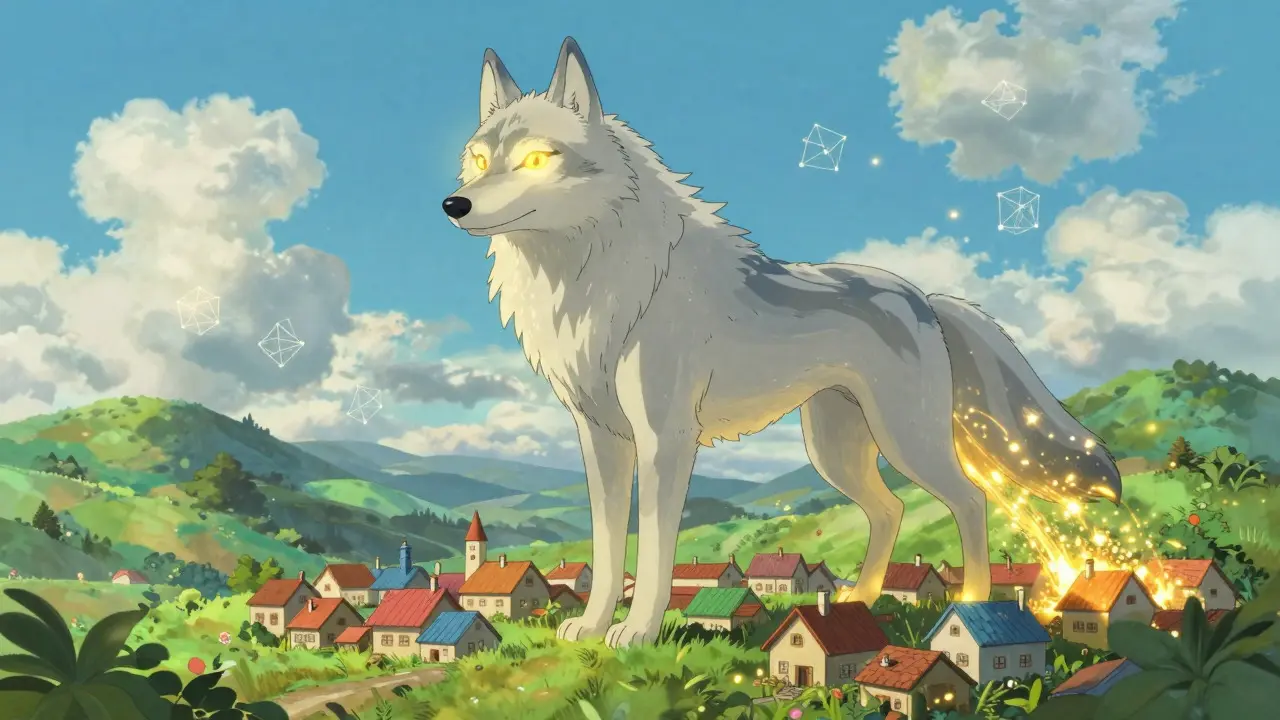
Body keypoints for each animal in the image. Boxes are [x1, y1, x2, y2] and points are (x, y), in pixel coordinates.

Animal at [440, 37, 1122, 647]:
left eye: (535, 160)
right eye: (480, 161)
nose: (454, 204)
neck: (603, 279)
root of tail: (925, 298)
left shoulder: (666, 440)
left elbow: (656, 550)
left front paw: (636, 634)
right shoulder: (603, 441)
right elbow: (609, 549)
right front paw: (589, 628)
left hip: (907, 443)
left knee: (972, 500)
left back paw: (972, 604)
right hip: (836, 451)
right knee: (891, 511)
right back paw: (857, 600)